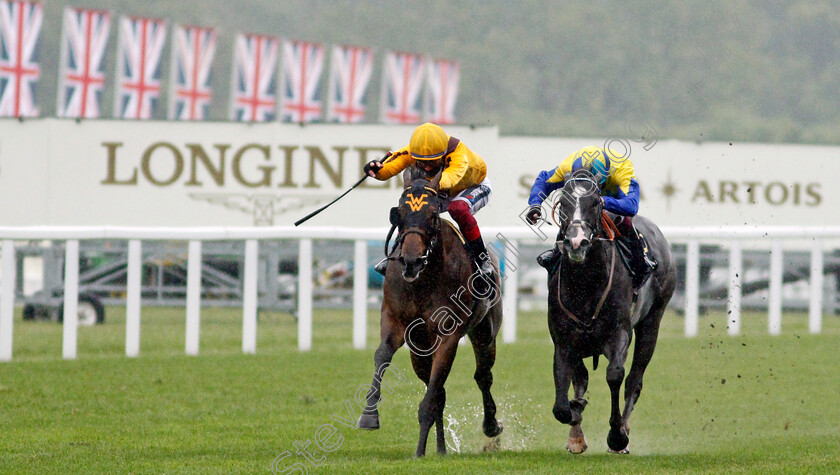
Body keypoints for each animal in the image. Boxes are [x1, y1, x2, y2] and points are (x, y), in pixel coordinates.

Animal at [356, 167, 502, 458]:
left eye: (433, 215)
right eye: (398, 213)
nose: (411, 261)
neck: (423, 280)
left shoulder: (448, 335)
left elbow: (433, 394)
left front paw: (419, 451)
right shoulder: (395, 321)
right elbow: (382, 355)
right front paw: (369, 415)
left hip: (485, 333)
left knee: (482, 377)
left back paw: (491, 426)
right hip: (419, 350)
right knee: (440, 392)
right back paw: (441, 448)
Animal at [548, 170, 680, 454]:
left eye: (596, 203)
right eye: (562, 204)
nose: (576, 242)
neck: (585, 285)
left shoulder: (619, 332)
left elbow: (615, 375)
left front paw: (617, 435)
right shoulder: (564, 339)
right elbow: (563, 398)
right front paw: (575, 424)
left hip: (652, 321)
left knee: (634, 380)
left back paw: (623, 432)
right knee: (582, 379)